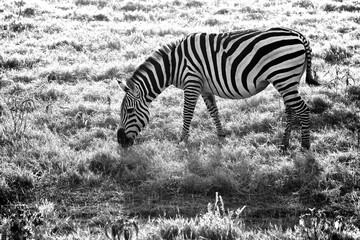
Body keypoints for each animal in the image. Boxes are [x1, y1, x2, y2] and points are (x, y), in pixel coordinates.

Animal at [116, 27, 320, 149]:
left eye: (130, 111)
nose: (120, 141)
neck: (174, 65)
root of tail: (299, 35)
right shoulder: (204, 87)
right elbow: (213, 110)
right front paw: (221, 135)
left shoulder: (192, 81)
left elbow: (187, 113)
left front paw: (183, 141)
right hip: (287, 81)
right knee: (291, 110)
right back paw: (284, 144)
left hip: (284, 77)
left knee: (302, 109)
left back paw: (305, 146)